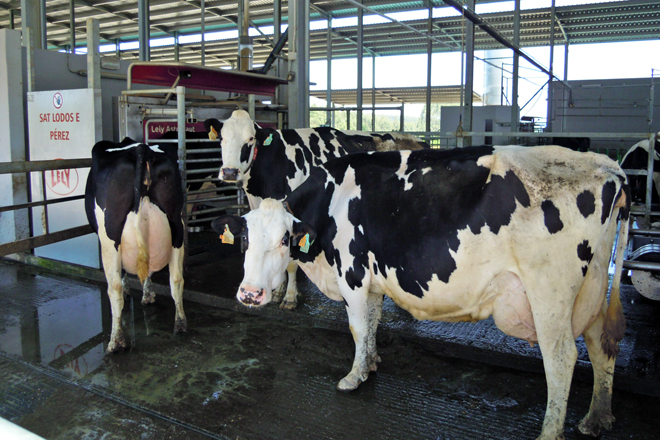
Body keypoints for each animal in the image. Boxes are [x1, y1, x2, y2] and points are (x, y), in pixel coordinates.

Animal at [85, 138, 187, 353]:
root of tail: (141, 148)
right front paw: (148, 295)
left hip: (110, 235)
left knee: (113, 287)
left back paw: (116, 342)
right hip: (177, 225)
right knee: (176, 279)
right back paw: (180, 324)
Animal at [205, 109, 428, 309]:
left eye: (250, 139)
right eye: (221, 139)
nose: (230, 172)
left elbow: (291, 261)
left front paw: (290, 297)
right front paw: (278, 292)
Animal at [212, 145, 630, 440]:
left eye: (285, 239)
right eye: (245, 239)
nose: (250, 294)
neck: (331, 201)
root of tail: (605, 165)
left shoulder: (353, 275)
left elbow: (358, 329)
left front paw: (353, 378)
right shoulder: (373, 282)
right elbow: (373, 324)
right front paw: (371, 364)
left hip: (550, 293)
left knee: (561, 359)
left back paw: (550, 431)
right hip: (592, 286)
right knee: (601, 346)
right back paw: (597, 417)